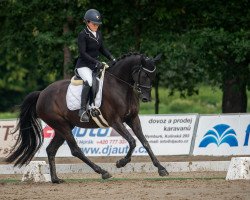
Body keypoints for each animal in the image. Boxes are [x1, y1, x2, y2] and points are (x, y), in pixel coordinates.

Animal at [5, 52, 169, 183]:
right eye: (145, 75)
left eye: (154, 75)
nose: (146, 98)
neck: (120, 86)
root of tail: (41, 94)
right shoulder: (115, 121)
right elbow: (132, 141)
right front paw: (121, 163)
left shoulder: (133, 119)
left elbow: (145, 142)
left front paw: (161, 168)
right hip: (61, 125)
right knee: (75, 150)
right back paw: (103, 172)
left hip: (63, 127)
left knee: (51, 150)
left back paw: (56, 179)